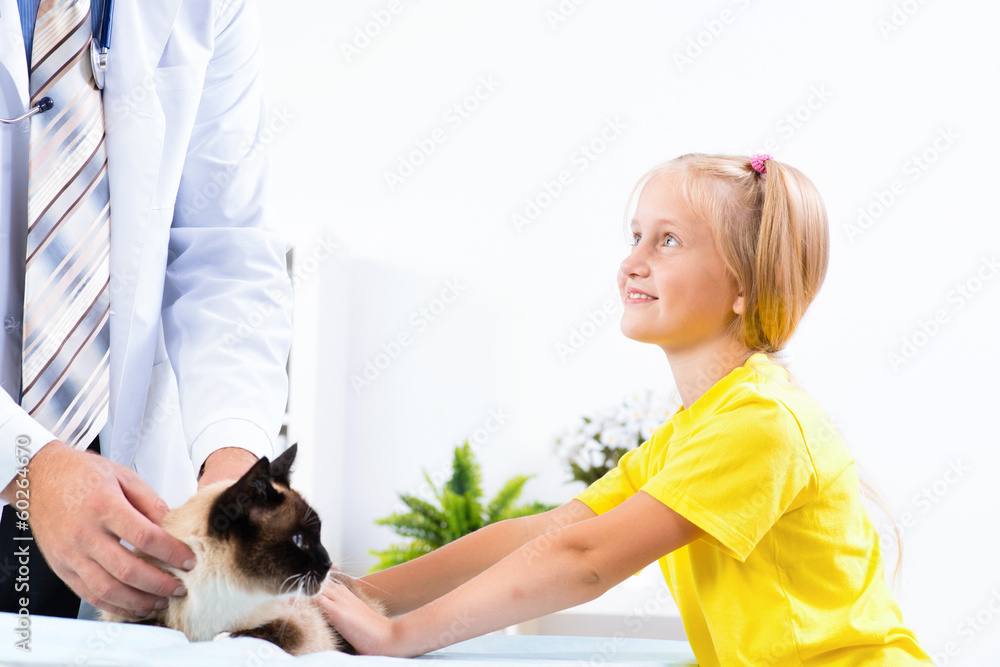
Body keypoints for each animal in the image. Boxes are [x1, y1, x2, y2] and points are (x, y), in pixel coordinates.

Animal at [100, 446, 382, 656]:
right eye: (299, 540)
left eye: (319, 537)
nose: (328, 564)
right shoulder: (128, 616)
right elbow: (157, 627)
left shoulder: (300, 630)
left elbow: (266, 634)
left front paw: (225, 637)